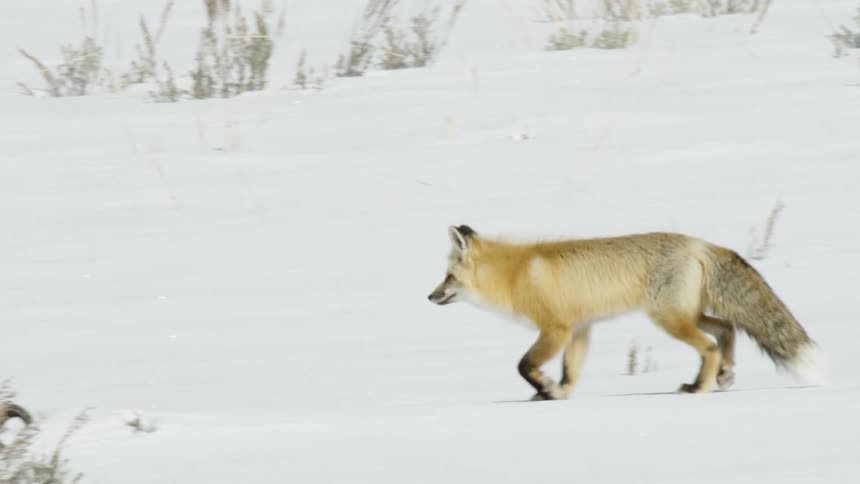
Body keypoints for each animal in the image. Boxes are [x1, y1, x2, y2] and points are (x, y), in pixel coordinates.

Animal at [427, 225, 826, 399]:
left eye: (448, 277)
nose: (430, 296)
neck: (515, 274)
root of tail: (698, 242)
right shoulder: (581, 328)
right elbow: (571, 372)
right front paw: (558, 393)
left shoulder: (556, 328)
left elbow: (525, 365)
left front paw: (547, 389)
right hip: (688, 314)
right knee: (727, 328)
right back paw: (724, 376)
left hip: (669, 319)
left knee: (711, 346)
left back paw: (698, 387)